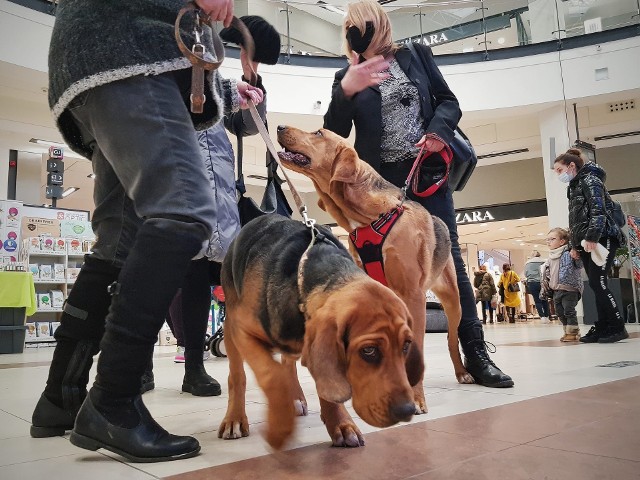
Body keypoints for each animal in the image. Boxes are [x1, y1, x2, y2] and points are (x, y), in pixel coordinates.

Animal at [218, 216, 422, 448]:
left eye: (406, 345)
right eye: (368, 351)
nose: (406, 411)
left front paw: (341, 424)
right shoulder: (242, 330)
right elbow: (271, 374)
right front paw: (280, 425)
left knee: (288, 364)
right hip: (230, 328)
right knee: (237, 376)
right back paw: (234, 418)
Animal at [276, 125, 476, 414]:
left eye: (318, 133)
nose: (279, 127)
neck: (369, 217)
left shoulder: (413, 294)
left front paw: (417, 398)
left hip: (453, 300)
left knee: (451, 339)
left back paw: (463, 372)